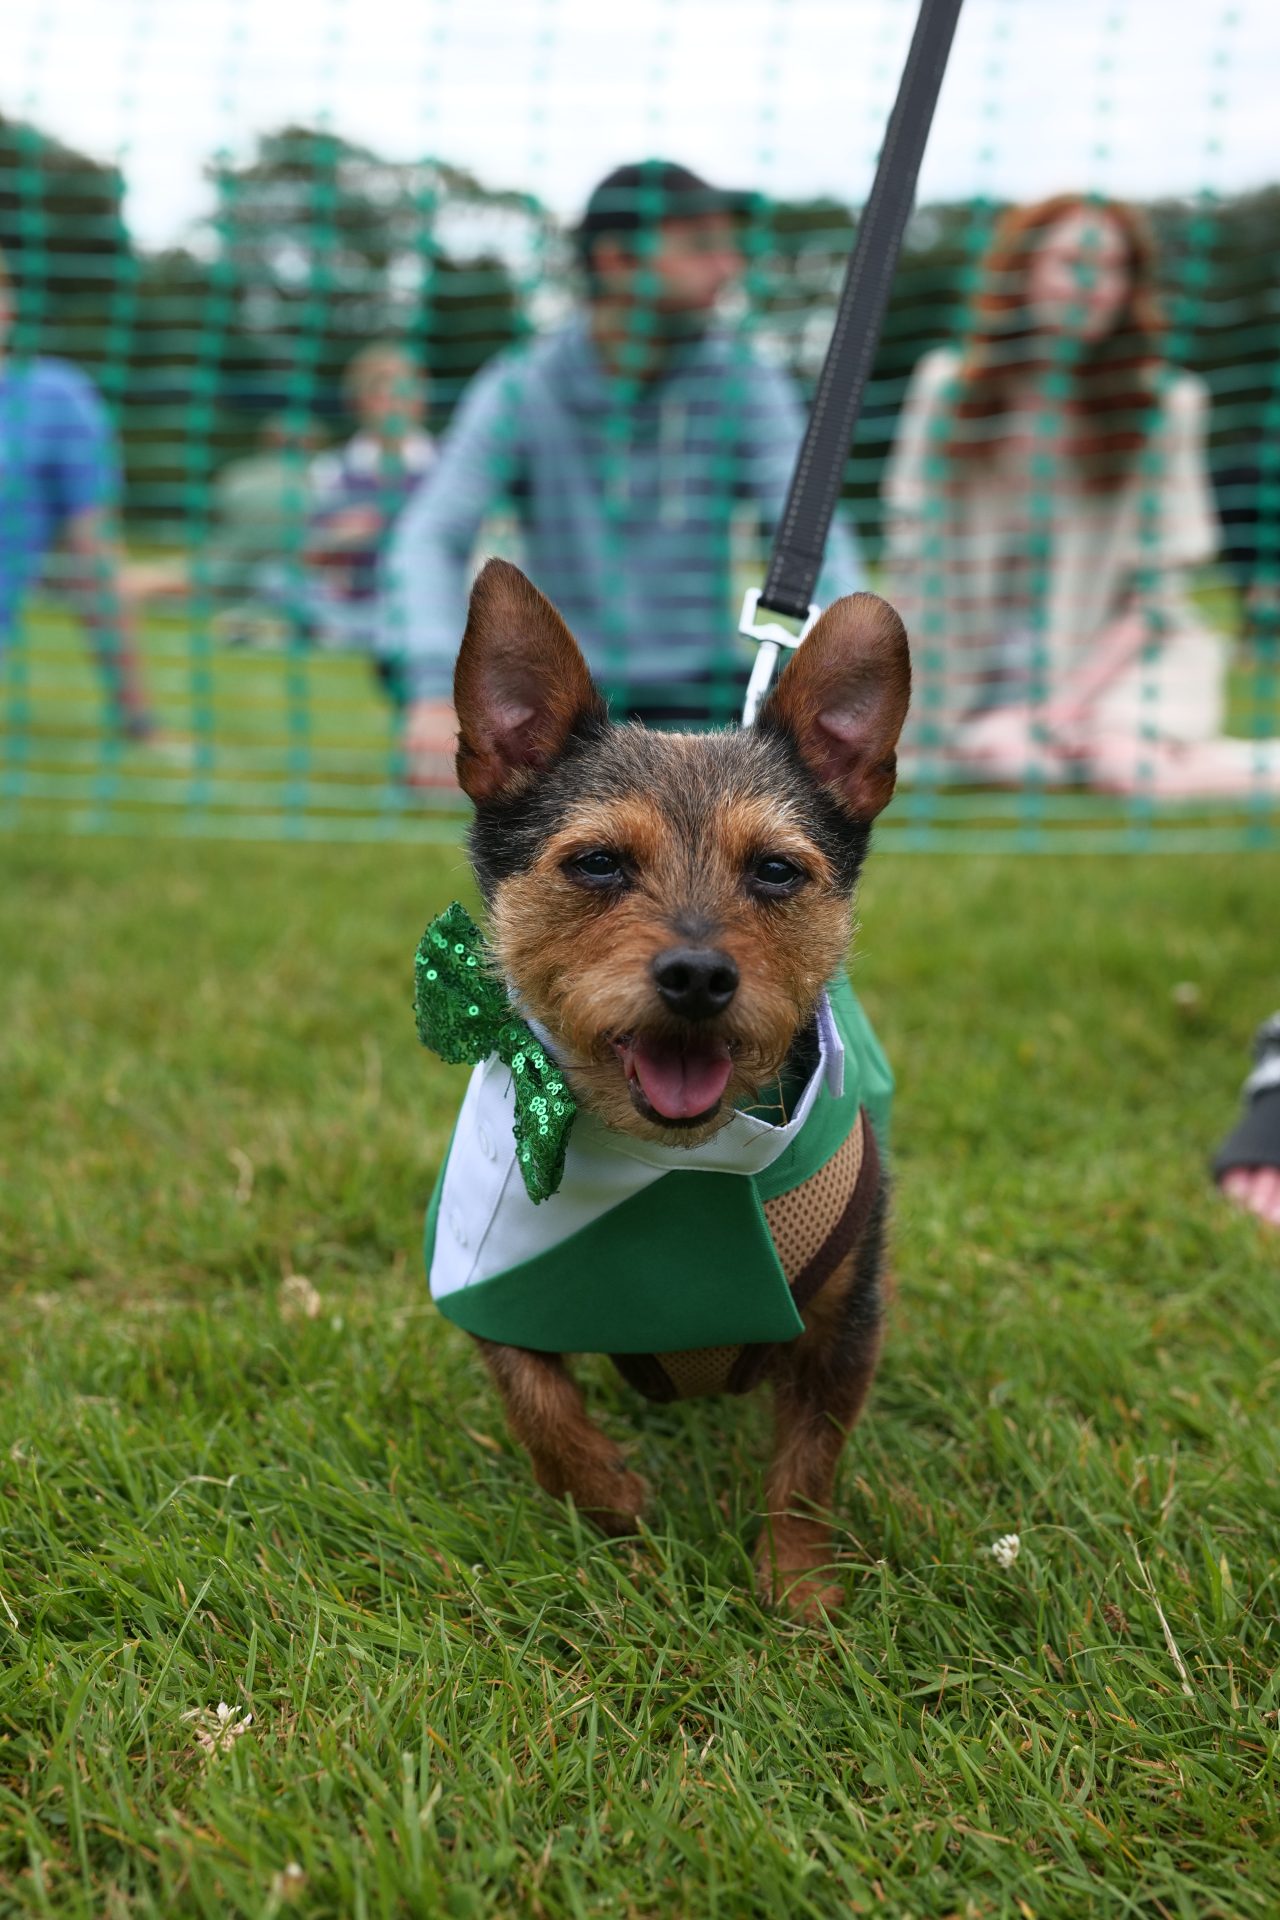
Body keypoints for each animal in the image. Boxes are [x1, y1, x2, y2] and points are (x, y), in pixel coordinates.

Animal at [420, 558, 910, 1618]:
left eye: (777, 871)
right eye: (598, 862)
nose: (696, 975)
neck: (678, 1166)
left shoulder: (843, 1325)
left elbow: (807, 1468)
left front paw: (799, 1593)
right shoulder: (489, 1278)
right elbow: (541, 1414)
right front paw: (619, 1517)